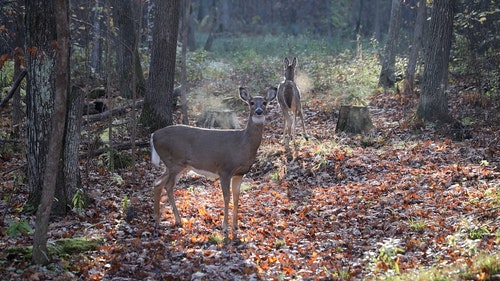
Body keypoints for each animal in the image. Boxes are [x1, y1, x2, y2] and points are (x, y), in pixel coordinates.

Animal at [150, 86, 280, 241]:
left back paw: (158, 220)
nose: (259, 111)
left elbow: (236, 197)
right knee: (167, 186)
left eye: (265, 102)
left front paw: (236, 226)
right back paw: (177, 220)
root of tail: (153, 135)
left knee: (158, 182)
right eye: (252, 103)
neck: (243, 144)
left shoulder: (239, 173)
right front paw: (224, 227)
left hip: (177, 166)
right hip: (174, 162)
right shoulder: (225, 169)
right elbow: (226, 197)